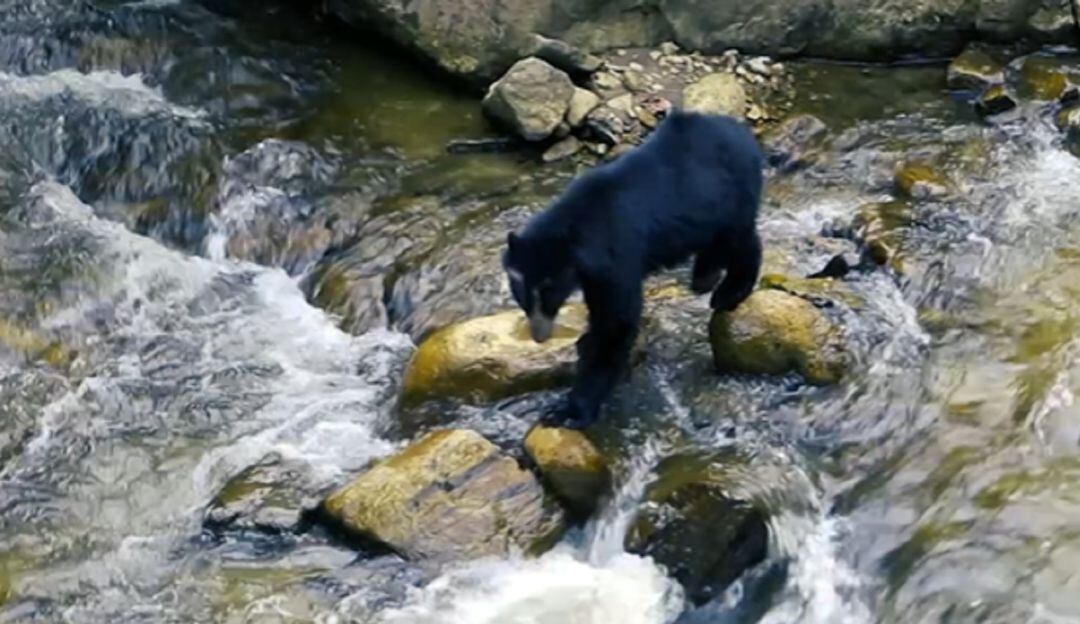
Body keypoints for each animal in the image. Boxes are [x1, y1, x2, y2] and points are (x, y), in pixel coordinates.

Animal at [503, 111, 764, 428]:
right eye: (521, 292)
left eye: (548, 289)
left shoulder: (616, 256)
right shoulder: (592, 274)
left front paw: (569, 410)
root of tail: (743, 132)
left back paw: (728, 291)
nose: (539, 335)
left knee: (741, 242)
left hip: (731, 197)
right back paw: (704, 276)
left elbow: (617, 322)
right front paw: (584, 344)